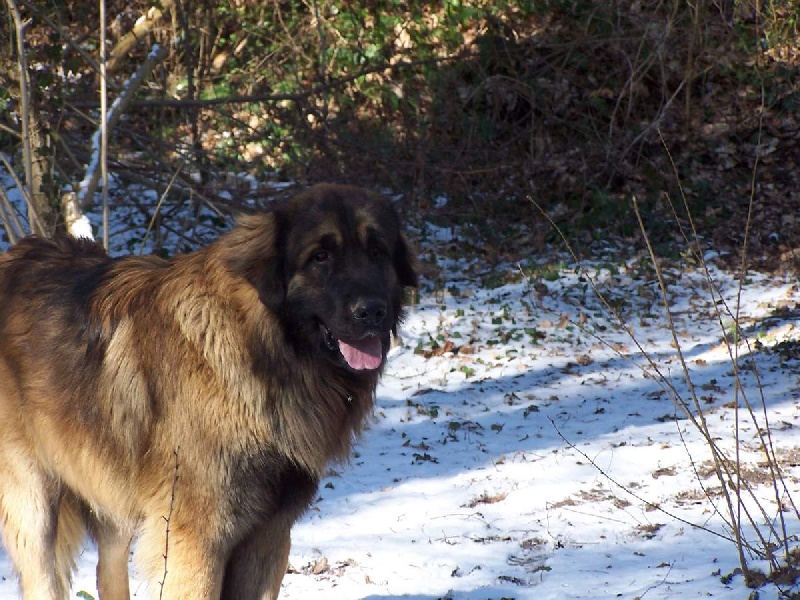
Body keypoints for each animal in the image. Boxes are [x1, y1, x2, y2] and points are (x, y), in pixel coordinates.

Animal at [0, 184, 422, 600]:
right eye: (320, 257)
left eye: (378, 252)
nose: (371, 311)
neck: (261, 353)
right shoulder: (196, 539)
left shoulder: (268, 536)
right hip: (34, 503)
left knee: (109, 571)